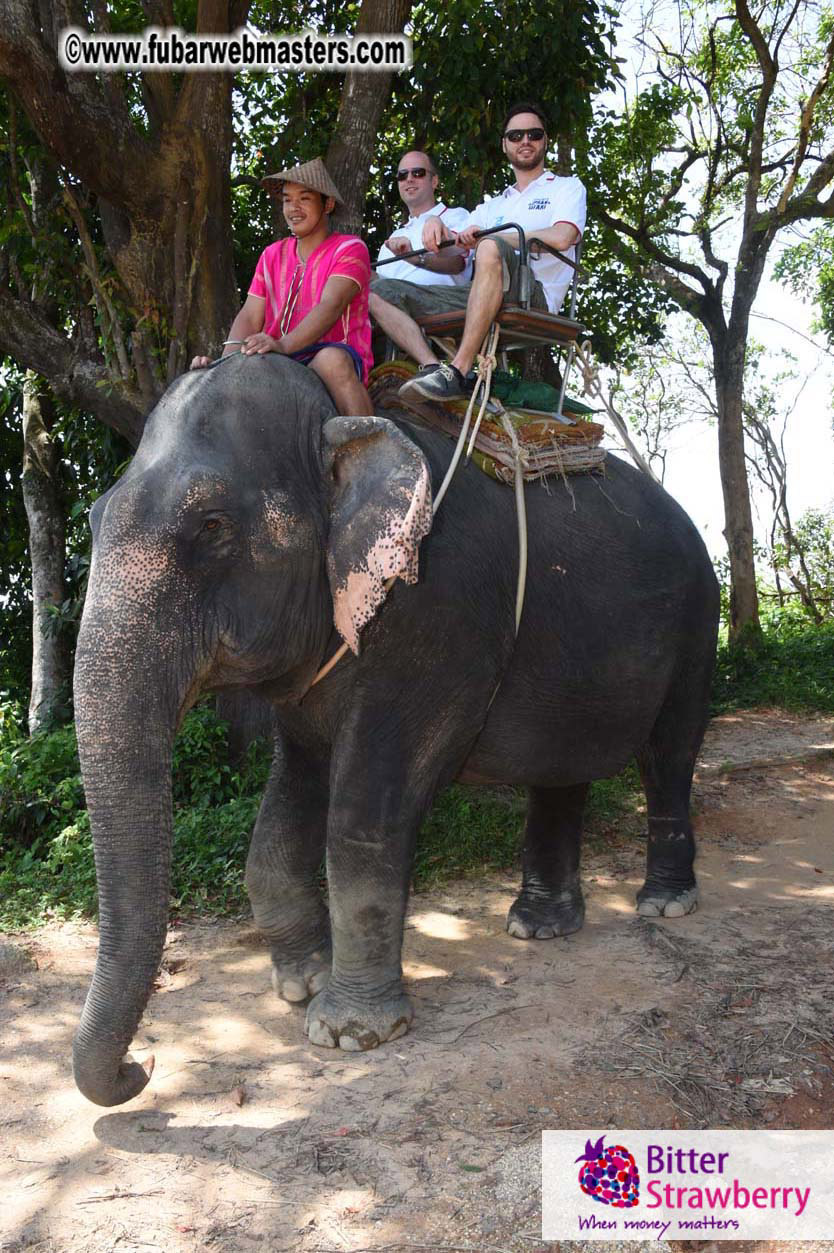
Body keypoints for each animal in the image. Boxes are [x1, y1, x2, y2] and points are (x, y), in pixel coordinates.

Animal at [72, 352, 719, 1107]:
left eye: (211, 526)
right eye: (93, 518)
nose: (140, 1067)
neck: (338, 427)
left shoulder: (433, 616)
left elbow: (365, 813)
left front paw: (349, 1033)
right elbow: (287, 804)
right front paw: (303, 983)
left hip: (697, 618)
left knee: (669, 754)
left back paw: (663, 905)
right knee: (563, 768)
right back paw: (538, 926)